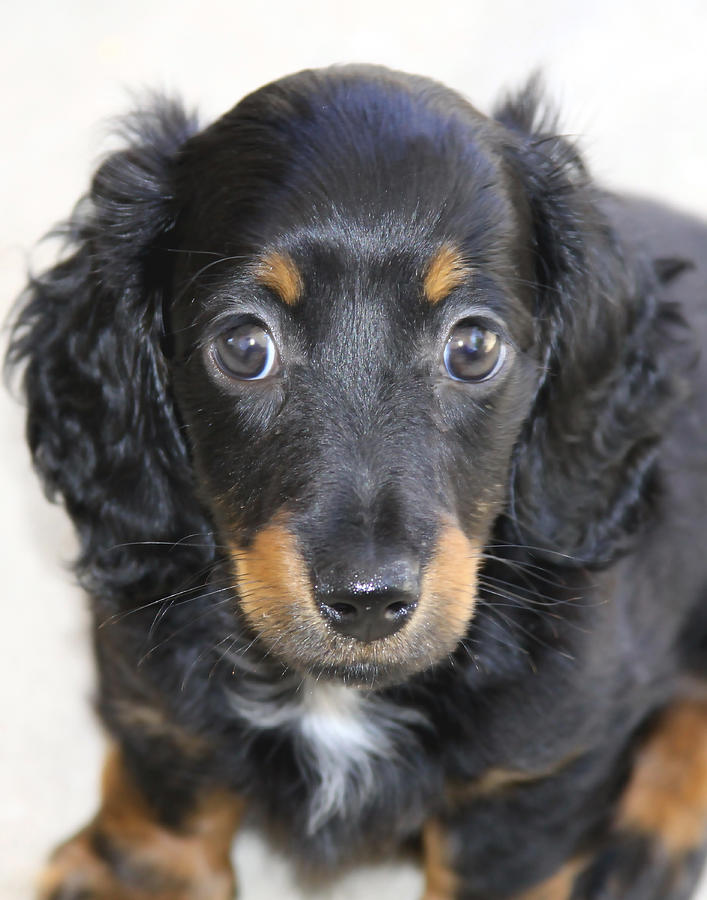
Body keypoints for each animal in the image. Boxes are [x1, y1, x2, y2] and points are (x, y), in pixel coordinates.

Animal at [8, 67, 707, 896]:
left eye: (473, 346)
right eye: (243, 346)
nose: (367, 602)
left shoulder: (545, 757)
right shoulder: (145, 661)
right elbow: (169, 775)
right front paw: (135, 871)